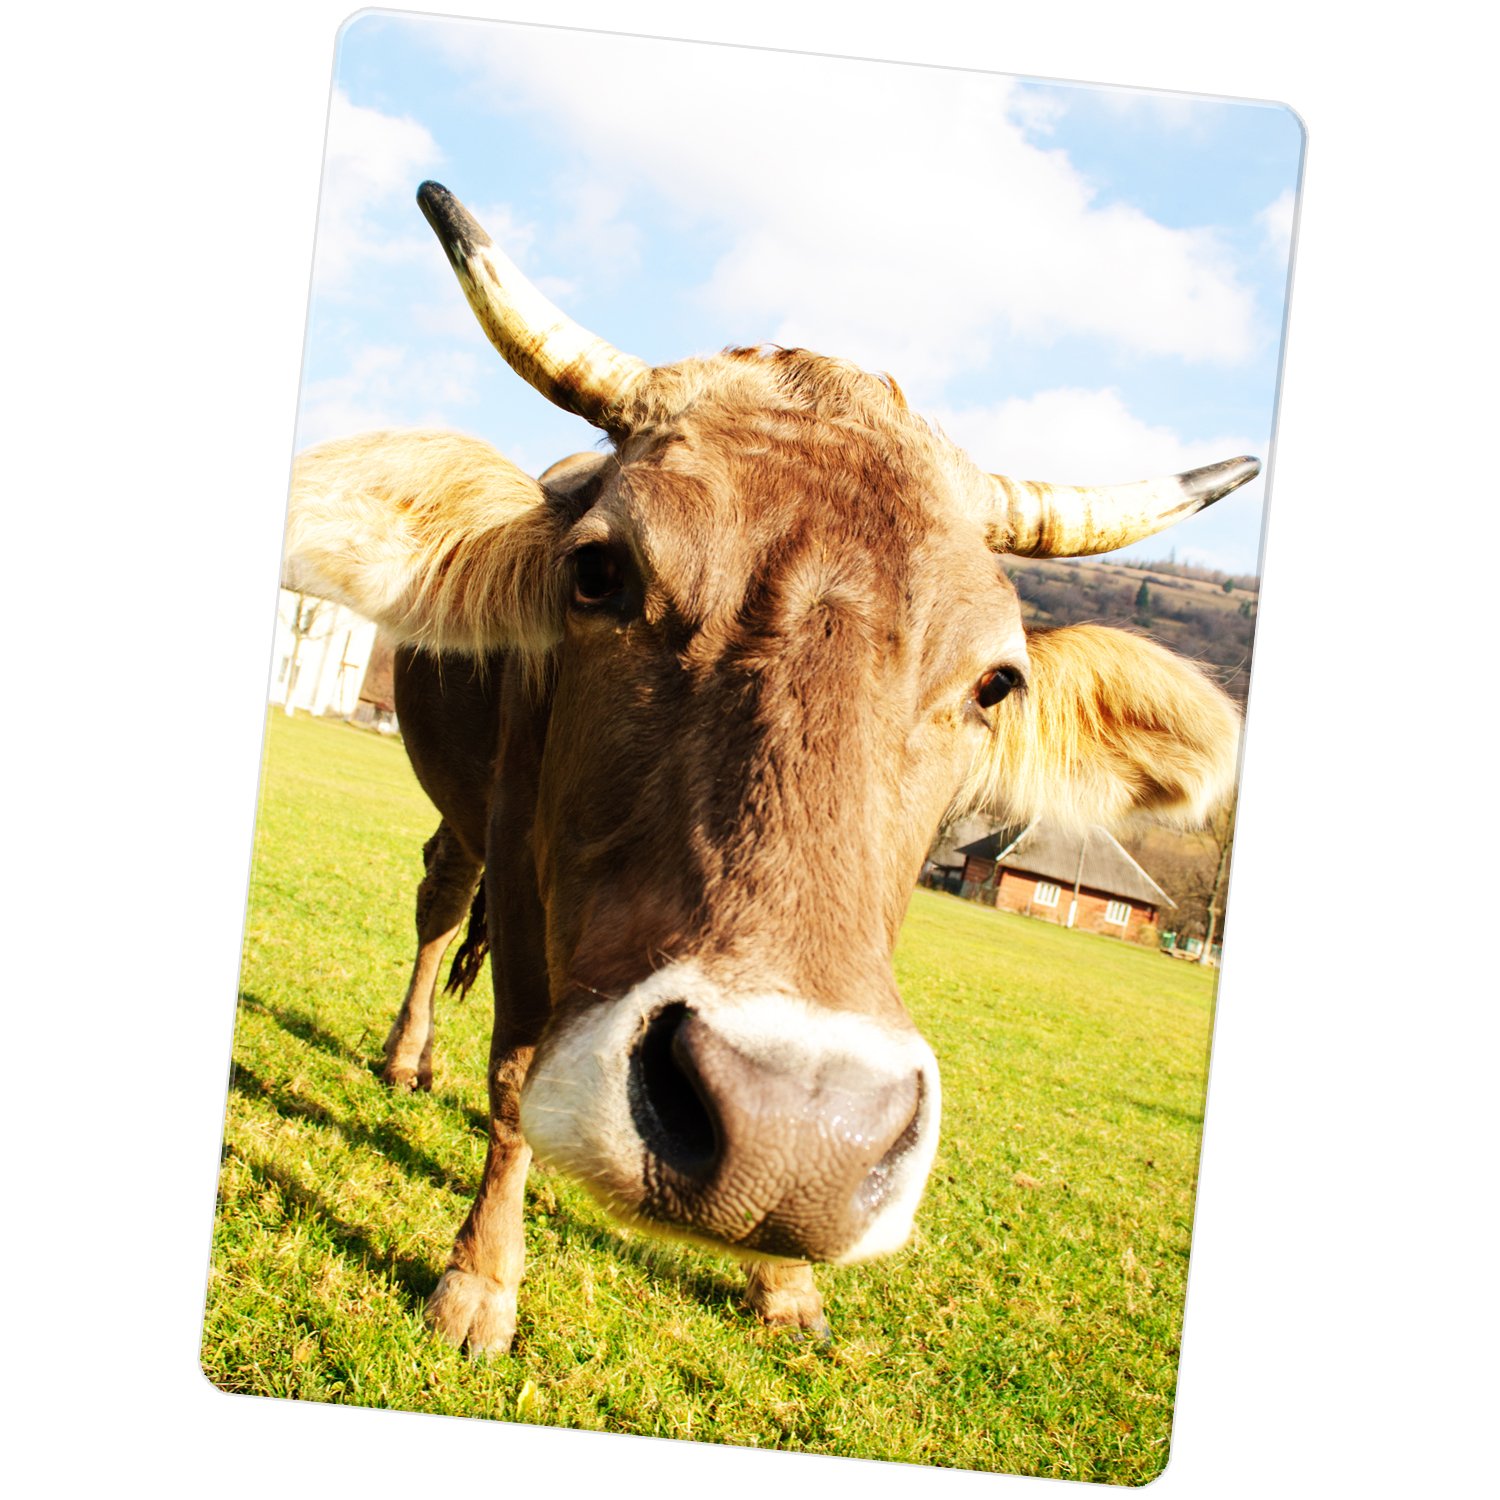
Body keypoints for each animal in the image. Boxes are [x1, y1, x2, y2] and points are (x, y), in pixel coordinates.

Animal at [282, 181, 1254, 1355]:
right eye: (597, 573)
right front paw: (479, 1284)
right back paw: (406, 1055)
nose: (795, 1132)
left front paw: (789, 1285)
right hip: (469, 817)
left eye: (995, 683)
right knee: (437, 905)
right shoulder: (520, 850)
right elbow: (513, 1067)